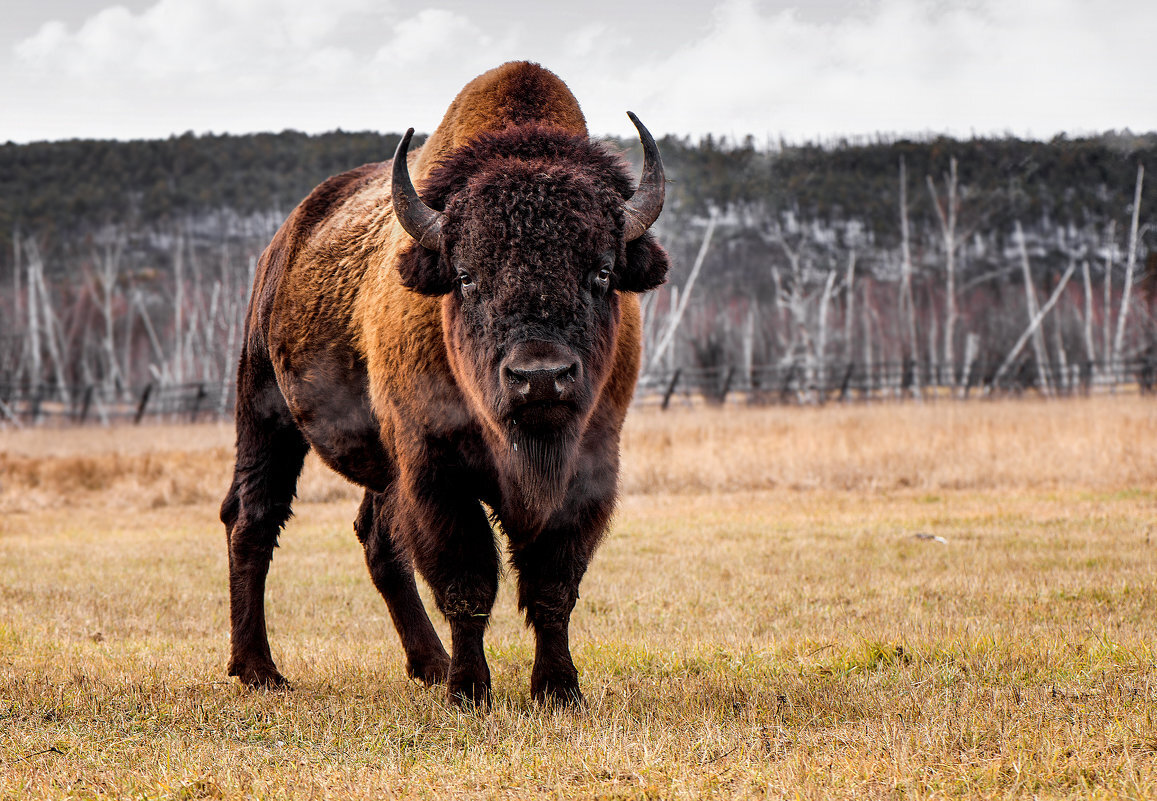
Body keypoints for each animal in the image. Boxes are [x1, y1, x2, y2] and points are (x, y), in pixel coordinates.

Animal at [219, 59, 671, 703]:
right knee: (254, 518)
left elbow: (553, 585)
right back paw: (259, 670)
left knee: (377, 541)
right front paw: (470, 691)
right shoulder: (436, 468)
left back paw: (427, 663)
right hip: (265, 411)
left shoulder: (588, 469)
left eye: (602, 272)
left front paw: (558, 690)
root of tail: (283, 242)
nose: (540, 377)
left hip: (379, 462)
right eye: (466, 276)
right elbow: (467, 581)